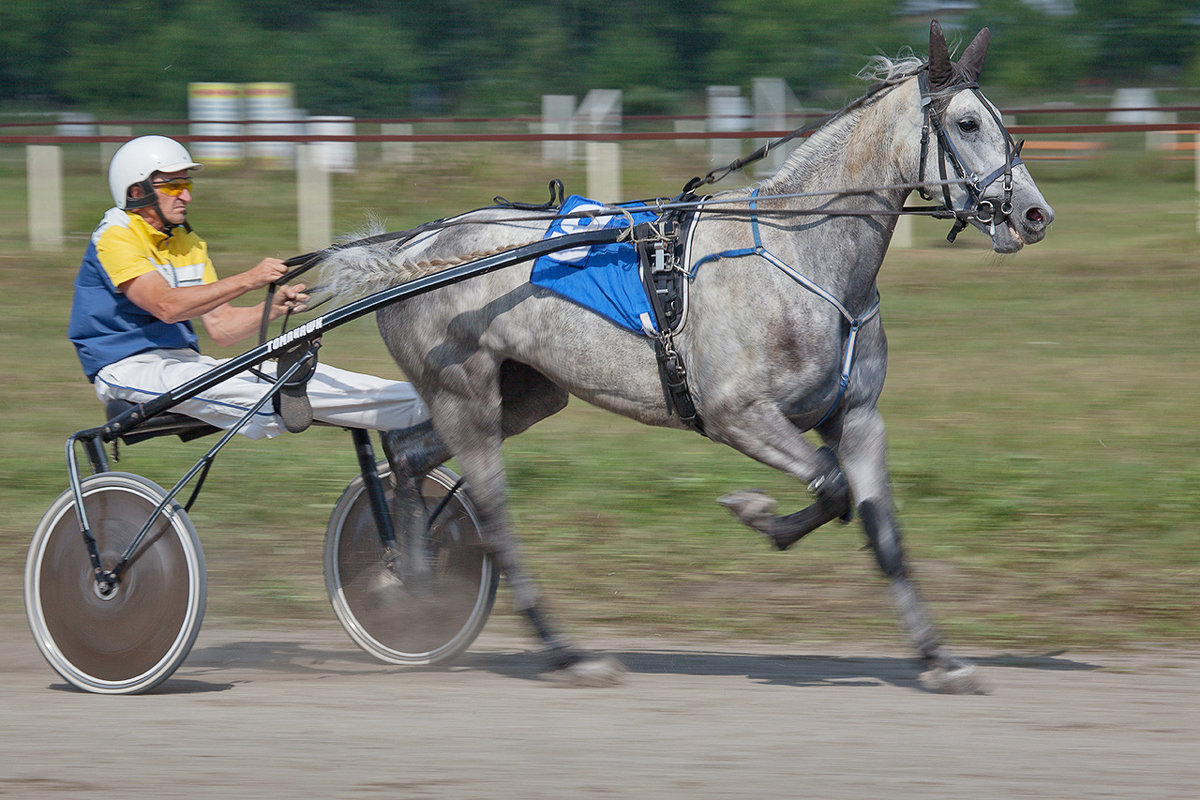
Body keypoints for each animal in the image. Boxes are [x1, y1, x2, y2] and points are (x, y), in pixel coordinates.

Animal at [316, 21, 1051, 690]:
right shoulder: (738, 413)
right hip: (465, 397)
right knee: (494, 522)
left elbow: (880, 531)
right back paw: (563, 653)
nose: (1034, 214)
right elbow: (833, 487)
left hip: (524, 394)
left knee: (406, 453)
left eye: (1004, 123)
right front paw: (758, 514)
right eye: (966, 123)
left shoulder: (857, 417)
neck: (800, 253)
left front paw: (939, 659)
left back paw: (411, 574)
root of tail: (406, 255)